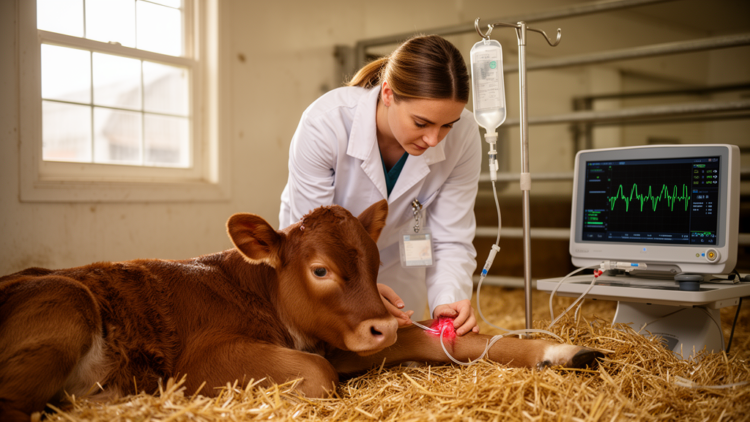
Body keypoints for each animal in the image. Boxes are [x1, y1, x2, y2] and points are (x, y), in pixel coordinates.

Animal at [0, 200, 600, 421]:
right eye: (319, 271)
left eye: (375, 261)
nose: (380, 324)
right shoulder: (202, 362)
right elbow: (317, 376)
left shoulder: (344, 339)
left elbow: (438, 339)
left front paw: (562, 352)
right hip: (67, 304)